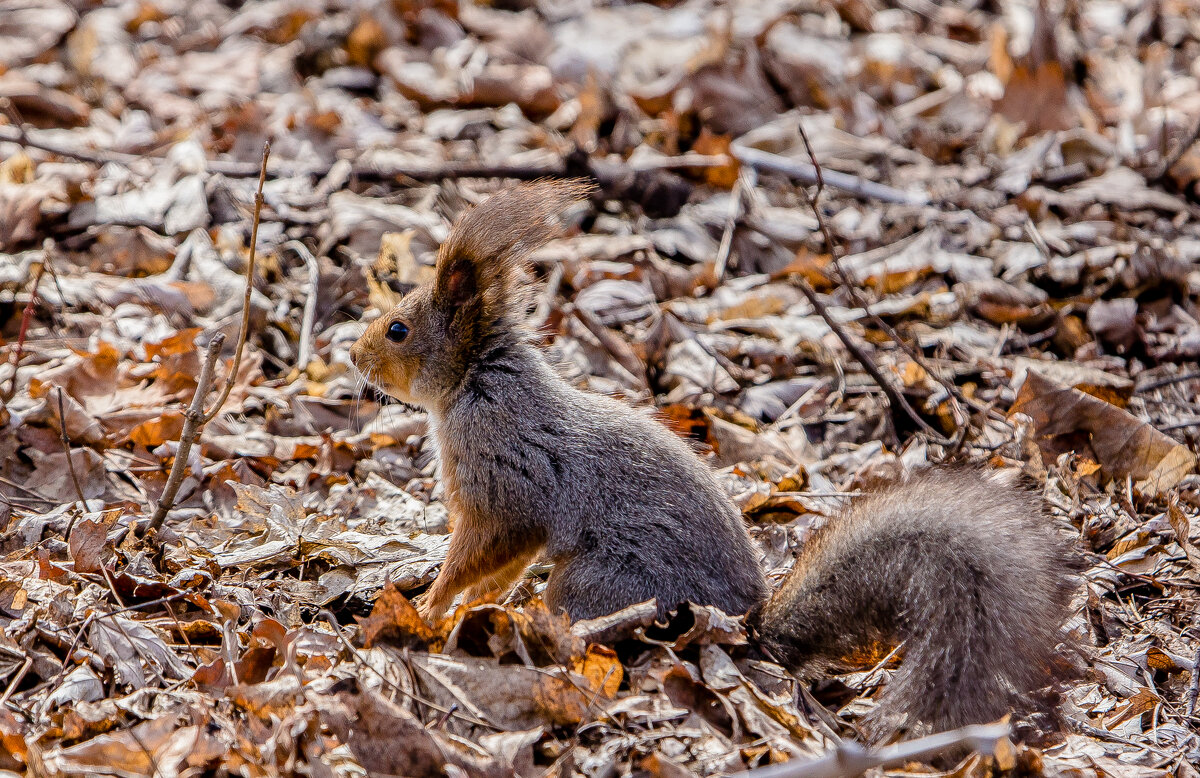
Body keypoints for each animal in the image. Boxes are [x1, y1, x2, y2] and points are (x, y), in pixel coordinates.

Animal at [348, 178, 1080, 739]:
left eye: (399, 329)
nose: (352, 356)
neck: (477, 382)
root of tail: (744, 632)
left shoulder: (504, 481)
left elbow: (482, 550)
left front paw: (431, 606)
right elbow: (498, 569)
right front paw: (453, 603)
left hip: (605, 584)